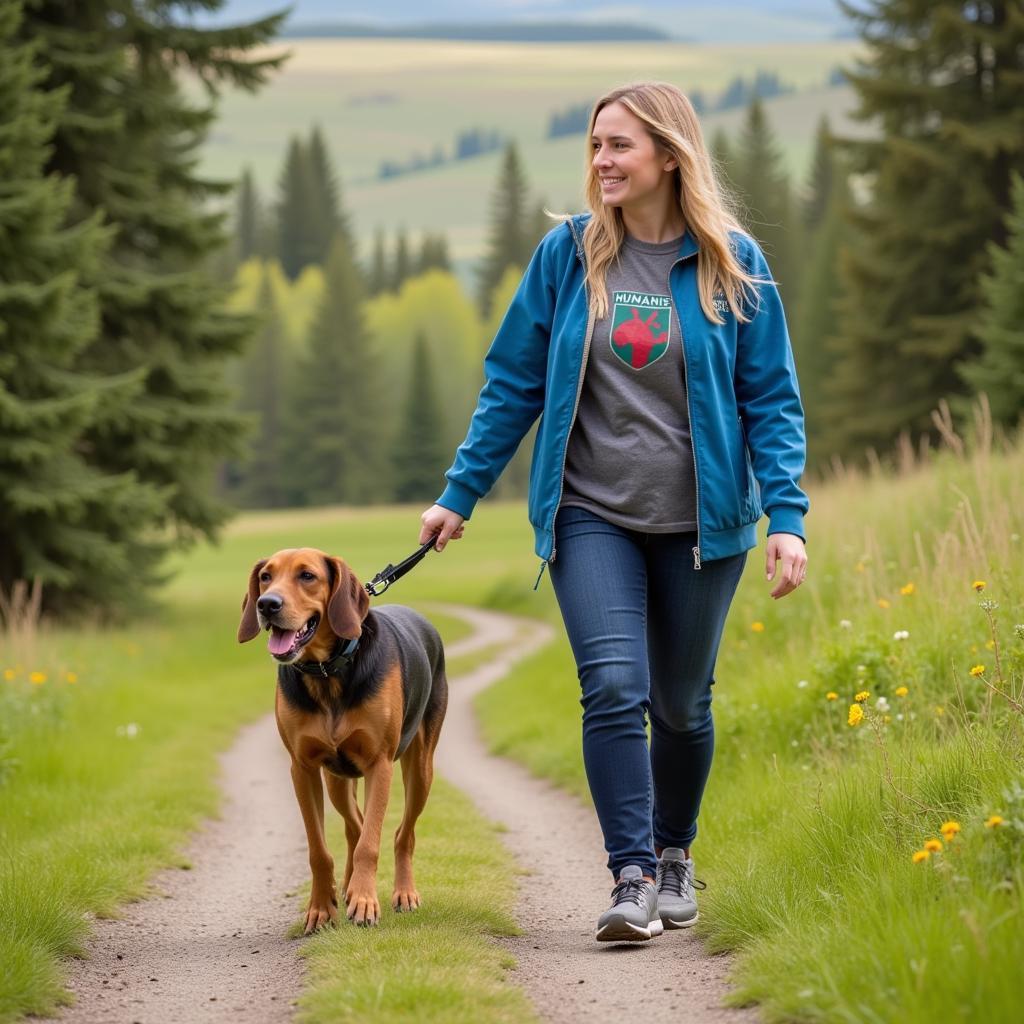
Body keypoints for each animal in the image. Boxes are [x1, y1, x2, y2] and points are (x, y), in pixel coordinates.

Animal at [241, 548, 450, 933]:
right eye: (265, 576)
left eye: (307, 576)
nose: (267, 604)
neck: (327, 675)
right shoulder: (303, 769)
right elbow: (319, 849)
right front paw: (322, 908)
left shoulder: (379, 765)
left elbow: (371, 842)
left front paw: (365, 901)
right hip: (336, 778)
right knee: (355, 827)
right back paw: (350, 885)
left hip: (420, 770)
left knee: (402, 834)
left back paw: (403, 893)